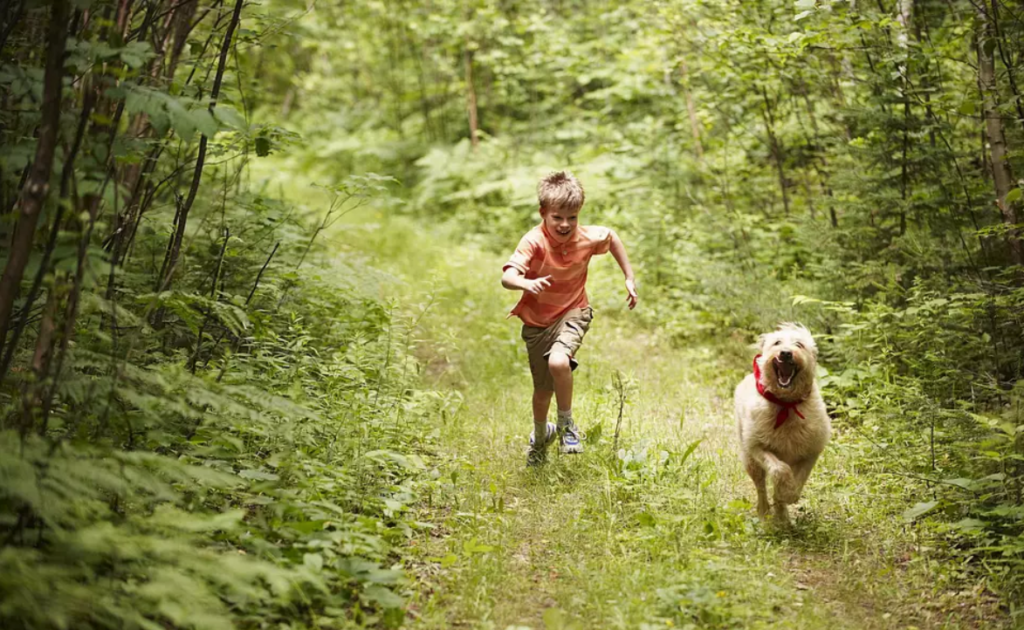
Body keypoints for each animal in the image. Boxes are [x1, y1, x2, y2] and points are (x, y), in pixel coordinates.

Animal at [733, 323, 827, 524]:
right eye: (777, 342)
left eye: (799, 344)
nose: (785, 353)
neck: (786, 404)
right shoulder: (757, 446)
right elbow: (779, 470)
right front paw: (784, 494)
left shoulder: (811, 452)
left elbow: (800, 478)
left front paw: (789, 495)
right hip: (749, 459)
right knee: (760, 486)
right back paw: (765, 512)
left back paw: (783, 517)